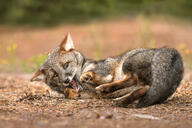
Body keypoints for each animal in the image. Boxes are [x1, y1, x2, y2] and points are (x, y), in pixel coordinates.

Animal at [30, 33, 184, 107]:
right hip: (141, 82)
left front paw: (88, 76)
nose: (66, 81)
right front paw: (70, 91)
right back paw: (121, 100)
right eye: (55, 75)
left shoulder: (105, 70)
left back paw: (106, 88)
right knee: (144, 87)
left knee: (133, 79)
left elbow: (97, 75)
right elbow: (70, 94)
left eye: (66, 65)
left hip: (126, 64)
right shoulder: (89, 93)